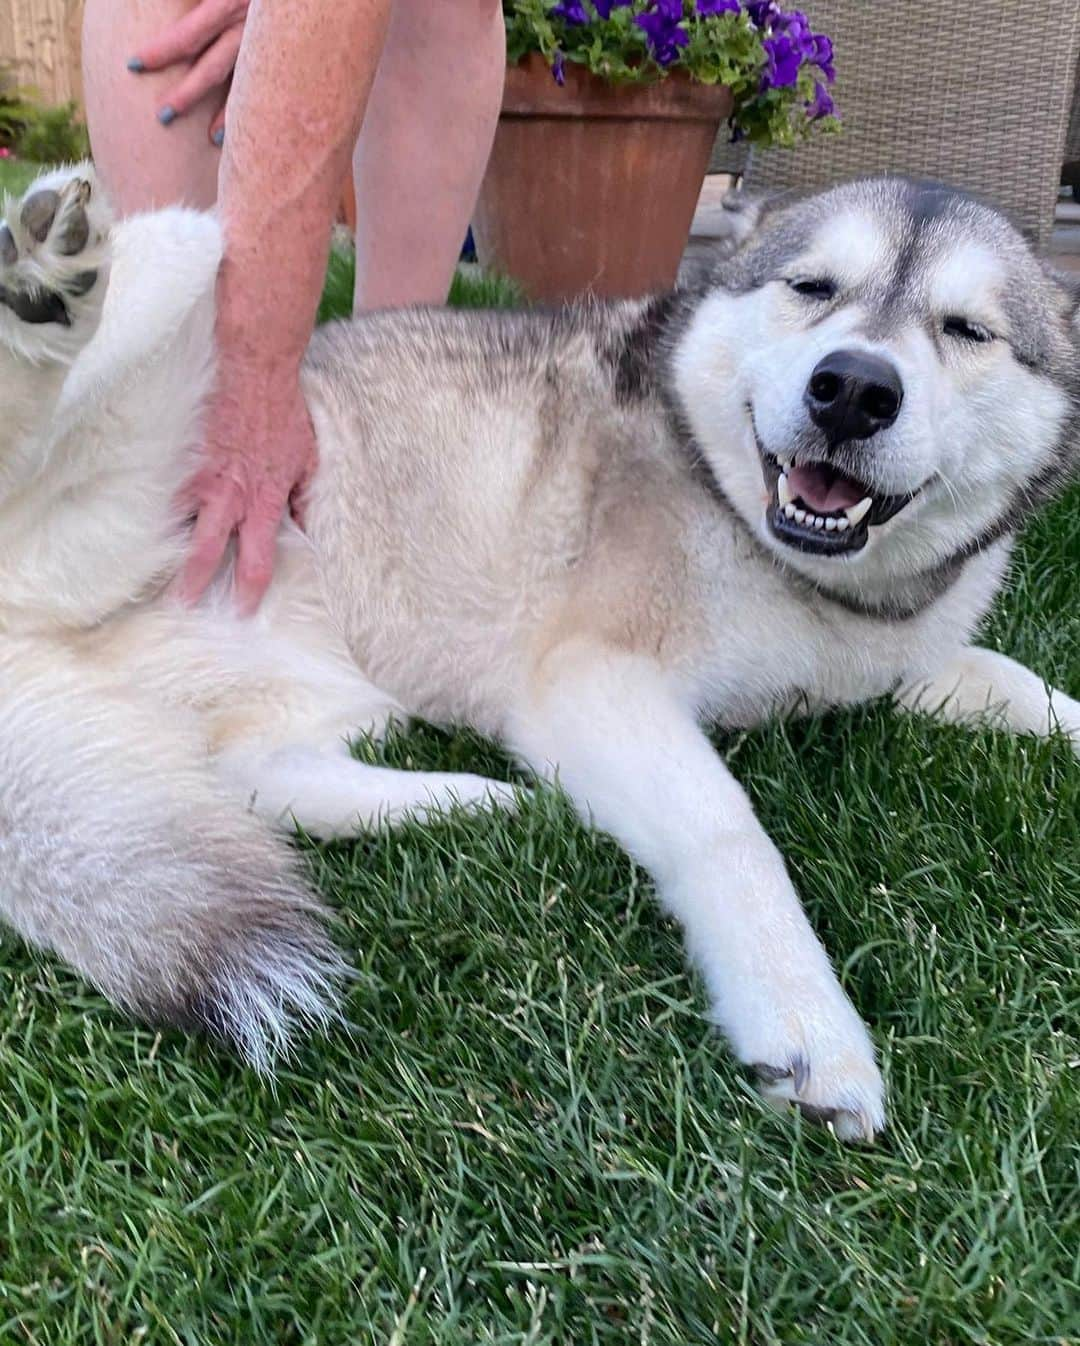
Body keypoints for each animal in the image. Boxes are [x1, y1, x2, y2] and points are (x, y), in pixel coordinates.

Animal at [2, 168, 1077, 1136]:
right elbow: (728, 831)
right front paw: (805, 1018)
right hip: (183, 271)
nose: (853, 389)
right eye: (812, 287)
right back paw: (47, 276)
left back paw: (468, 802)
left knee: (257, 776)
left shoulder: (898, 664)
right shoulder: (593, 682)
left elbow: (1023, 683)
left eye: (967, 331)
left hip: (331, 698)